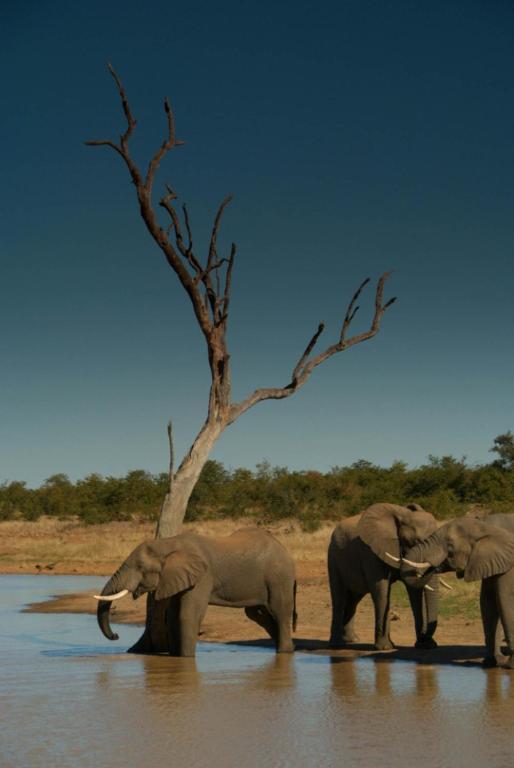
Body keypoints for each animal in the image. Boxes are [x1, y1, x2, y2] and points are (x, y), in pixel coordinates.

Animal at [94, 532, 296, 656]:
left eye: (140, 567)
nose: (116, 636)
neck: (169, 543)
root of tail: (285, 550)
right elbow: (172, 617)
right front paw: (176, 658)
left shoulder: (203, 576)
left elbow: (187, 615)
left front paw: (186, 658)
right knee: (259, 615)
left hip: (279, 578)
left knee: (279, 613)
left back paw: (284, 652)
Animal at [326, 500, 438, 652]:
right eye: (414, 543)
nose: (427, 639)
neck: (403, 515)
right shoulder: (371, 552)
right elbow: (381, 590)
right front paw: (385, 647)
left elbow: (413, 591)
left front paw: (425, 645)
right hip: (333, 558)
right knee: (339, 597)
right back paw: (337, 645)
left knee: (354, 598)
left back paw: (352, 639)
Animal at [400, 516, 514, 664]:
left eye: (450, 546)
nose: (434, 566)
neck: (486, 528)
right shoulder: (490, 562)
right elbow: (488, 602)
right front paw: (491, 663)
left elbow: (505, 600)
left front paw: (508, 665)